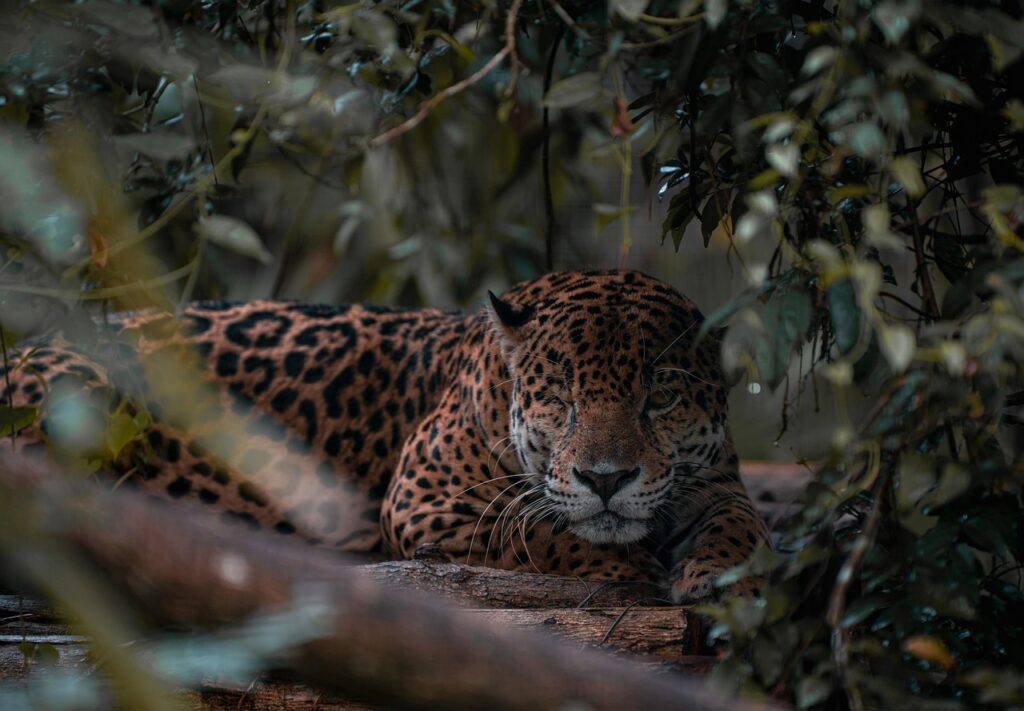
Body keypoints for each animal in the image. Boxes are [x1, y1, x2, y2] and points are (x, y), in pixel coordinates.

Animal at [4, 270, 769, 603]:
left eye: (659, 398)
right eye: (561, 397)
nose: (605, 479)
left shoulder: (713, 480)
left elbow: (744, 524)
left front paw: (715, 571)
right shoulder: (424, 499)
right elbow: (542, 532)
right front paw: (627, 564)